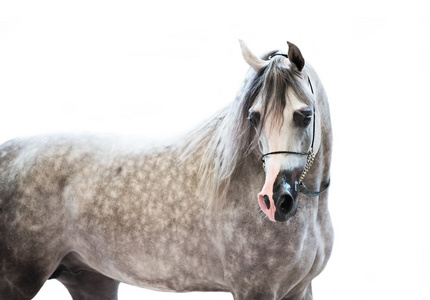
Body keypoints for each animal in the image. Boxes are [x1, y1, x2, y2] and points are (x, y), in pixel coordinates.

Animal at [0, 40, 332, 300]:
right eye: (254, 116)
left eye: (305, 115)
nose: (274, 200)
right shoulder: (256, 289)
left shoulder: (300, 290)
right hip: (18, 282)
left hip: (89, 279)